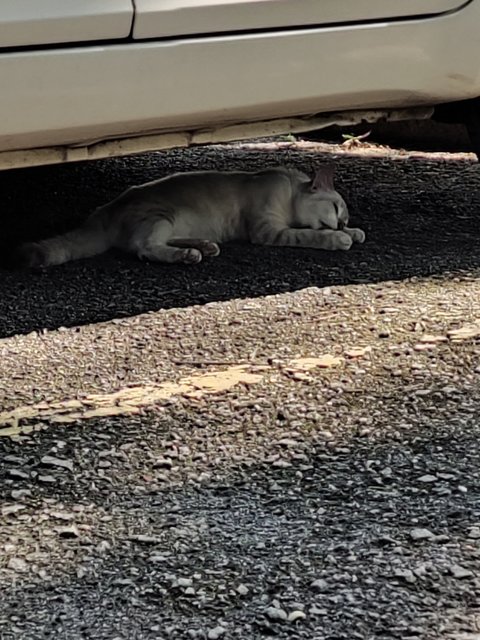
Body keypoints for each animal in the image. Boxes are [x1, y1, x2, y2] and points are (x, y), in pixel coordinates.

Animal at [16, 165, 366, 268]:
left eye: (346, 216)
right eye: (337, 210)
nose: (343, 223)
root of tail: (101, 212)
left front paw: (355, 233)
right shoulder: (269, 231)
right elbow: (310, 234)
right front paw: (339, 238)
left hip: (171, 222)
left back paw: (205, 245)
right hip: (162, 217)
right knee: (145, 249)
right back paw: (189, 254)